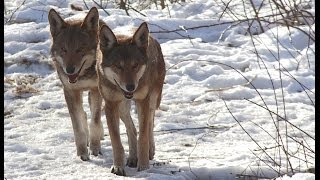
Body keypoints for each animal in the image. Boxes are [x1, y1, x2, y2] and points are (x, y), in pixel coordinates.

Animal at [48, 7, 107, 160]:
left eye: (80, 49)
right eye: (63, 49)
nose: (69, 70)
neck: (82, 77)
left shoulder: (96, 90)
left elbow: (95, 121)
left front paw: (95, 148)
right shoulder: (70, 91)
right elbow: (78, 126)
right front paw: (82, 152)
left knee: (93, 114)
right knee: (83, 114)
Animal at [95, 21, 165, 176]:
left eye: (135, 65)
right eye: (118, 66)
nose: (131, 87)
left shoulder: (143, 101)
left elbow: (143, 137)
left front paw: (144, 167)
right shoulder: (110, 104)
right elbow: (116, 141)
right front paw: (118, 167)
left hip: (152, 100)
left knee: (150, 123)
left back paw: (150, 151)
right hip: (122, 108)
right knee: (131, 128)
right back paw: (133, 158)